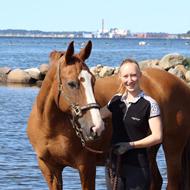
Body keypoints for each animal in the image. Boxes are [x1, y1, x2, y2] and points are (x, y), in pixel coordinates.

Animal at [26, 40, 108, 190]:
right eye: (71, 83)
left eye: (93, 81)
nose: (97, 128)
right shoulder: (50, 168)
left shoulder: (87, 167)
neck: (50, 129)